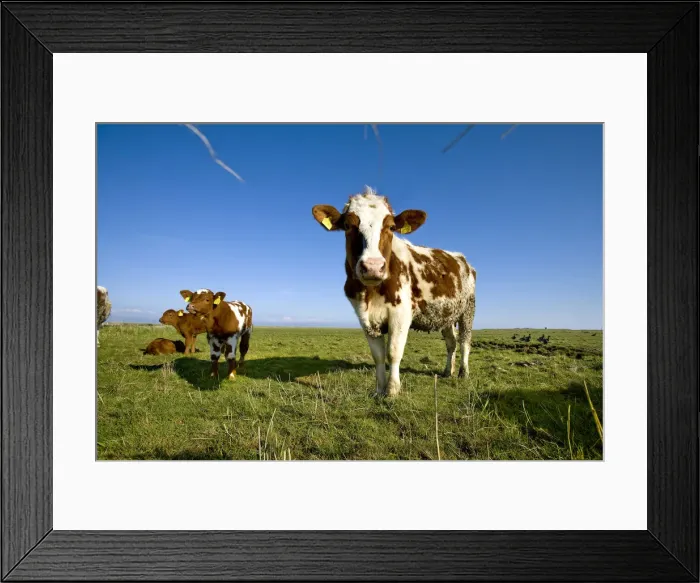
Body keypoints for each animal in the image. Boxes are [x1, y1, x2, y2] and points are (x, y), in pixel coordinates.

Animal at [311, 186, 476, 397]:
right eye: (348, 225)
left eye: (390, 227)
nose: (373, 267)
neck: (371, 293)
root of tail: (461, 258)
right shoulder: (364, 316)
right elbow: (378, 356)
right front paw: (379, 389)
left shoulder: (401, 313)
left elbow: (393, 352)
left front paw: (392, 390)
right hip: (446, 313)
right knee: (451, 343)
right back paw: (448, 371)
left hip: (468, 309)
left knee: (464, 341)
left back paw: (463, 372)